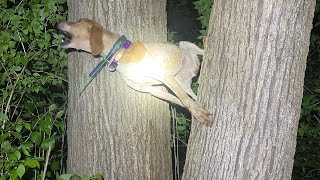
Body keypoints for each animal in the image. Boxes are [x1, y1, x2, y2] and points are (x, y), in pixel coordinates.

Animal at [57, 19, 210, 124]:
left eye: (78, 21)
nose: (59, 23)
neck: (119, 53)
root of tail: (192, 69)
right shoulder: (150, 89)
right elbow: (180, 100)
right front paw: (195, 111)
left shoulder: (162, 74)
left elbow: (184, 99)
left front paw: (198, 113)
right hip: (182, 82)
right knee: (192, 95)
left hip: (185, 45)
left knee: (202, 51)